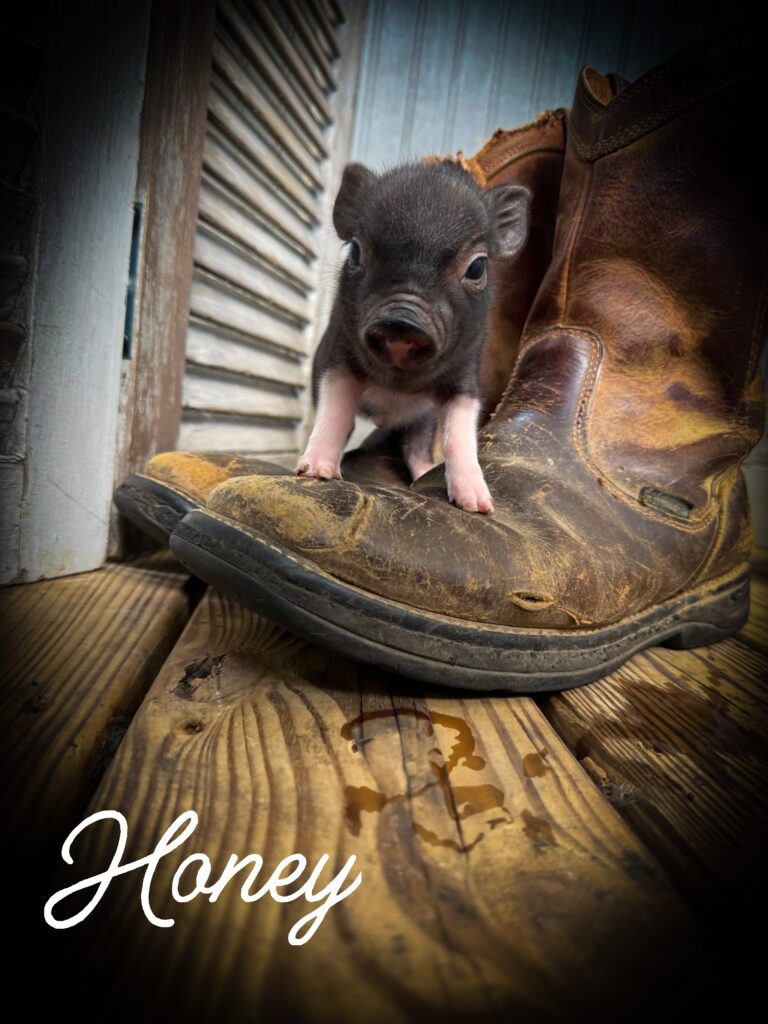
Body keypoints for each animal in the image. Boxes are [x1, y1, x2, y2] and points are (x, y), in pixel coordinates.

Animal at [295, 159, 530, 513]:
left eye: (477, 268)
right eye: (355, 252)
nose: (402, 322)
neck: (398, 386)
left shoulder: (465, 380)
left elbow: (459, 434)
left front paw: (479, 506)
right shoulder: (340, 360)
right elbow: (335, 410)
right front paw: (314, 473)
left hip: (423, 418)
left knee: (415, 447)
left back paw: (424, 475)